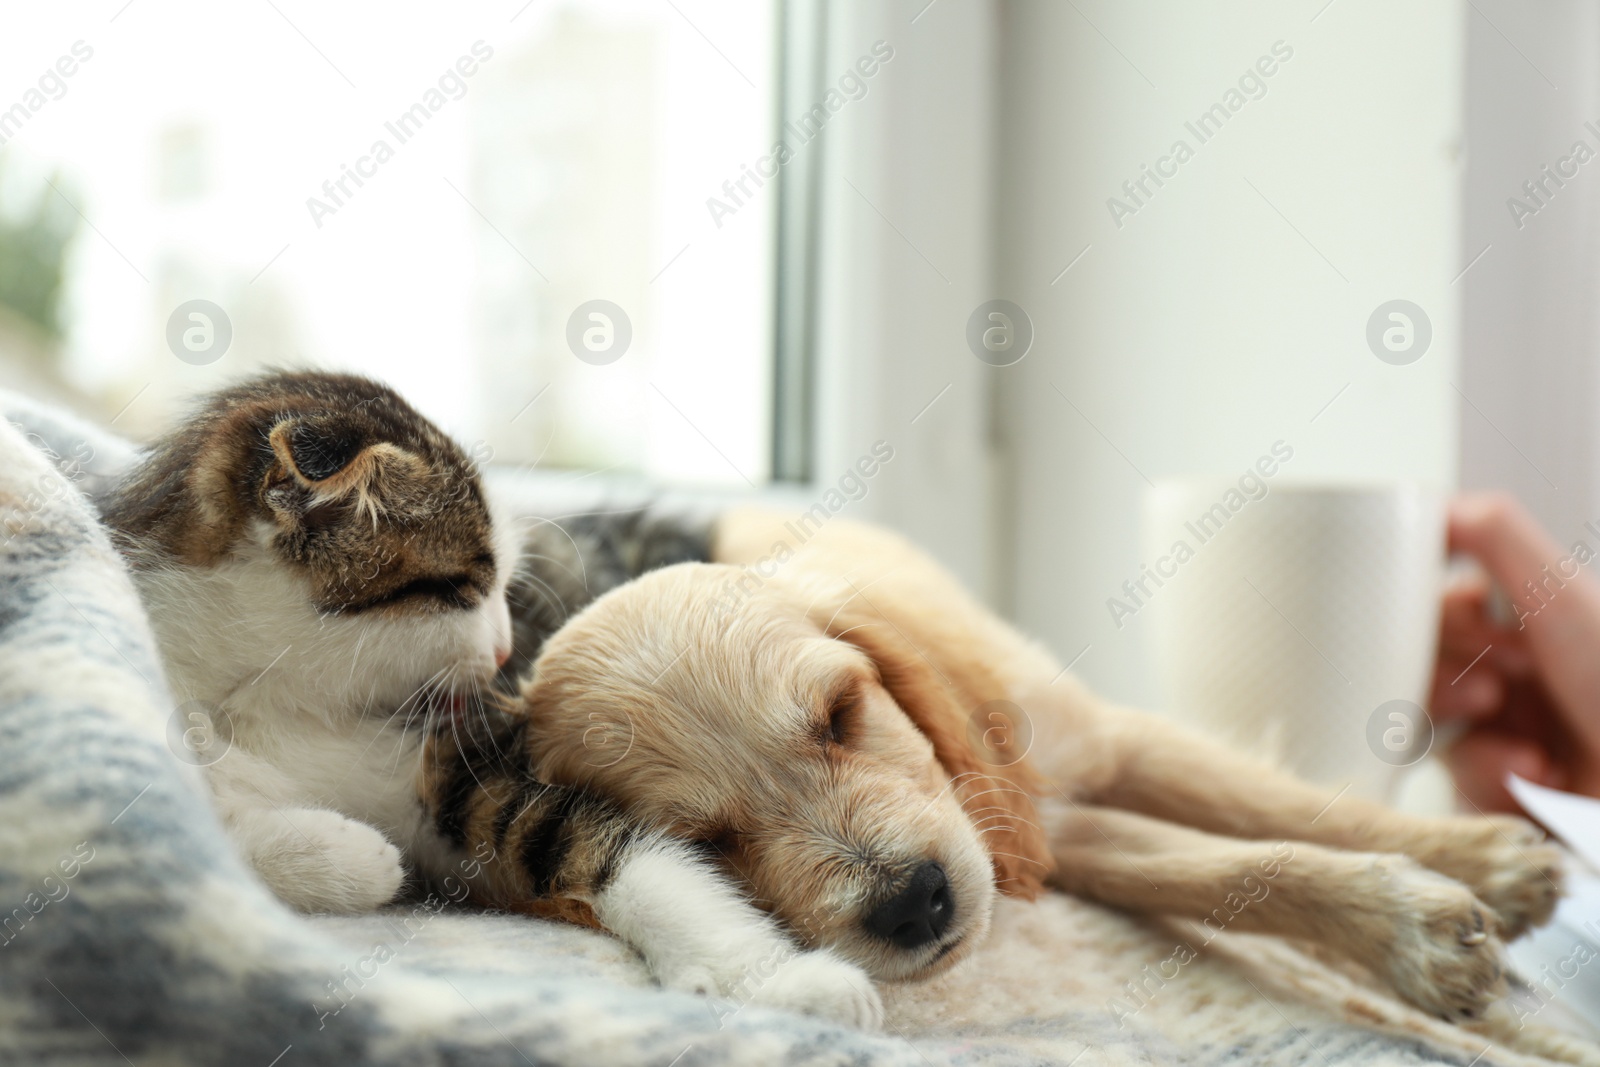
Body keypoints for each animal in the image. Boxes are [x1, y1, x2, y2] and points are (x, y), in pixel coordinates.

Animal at [103, 374, 876, 1023]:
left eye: (509, 584)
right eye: (464, 587)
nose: (508, 653)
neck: (277, 700)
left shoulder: (468, 752)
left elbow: (620, 852)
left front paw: (784, 980)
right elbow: (194, 837)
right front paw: (346, 856)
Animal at [521, 508, 1561, 1023]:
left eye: (842, 713)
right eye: (706, 843)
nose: (914, 904)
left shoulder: (1096, 746)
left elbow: (1283, 807)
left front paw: (1483, 863)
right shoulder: (1042, 832)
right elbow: (1235, 865)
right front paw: (1411, 926)